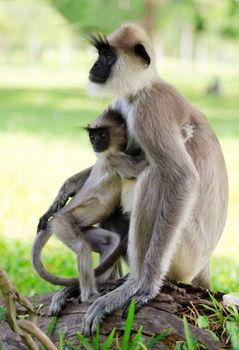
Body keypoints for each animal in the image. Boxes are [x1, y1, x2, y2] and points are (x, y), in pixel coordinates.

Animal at [79, 23, 229, 334]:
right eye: (100, 55)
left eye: (108, 56)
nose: (95, 66)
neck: (141, 89)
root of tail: (205, 263)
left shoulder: (150, 110)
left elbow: (182, 179)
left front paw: (146, 285)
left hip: (185, 251)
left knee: (155, 177)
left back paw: (135, 280)